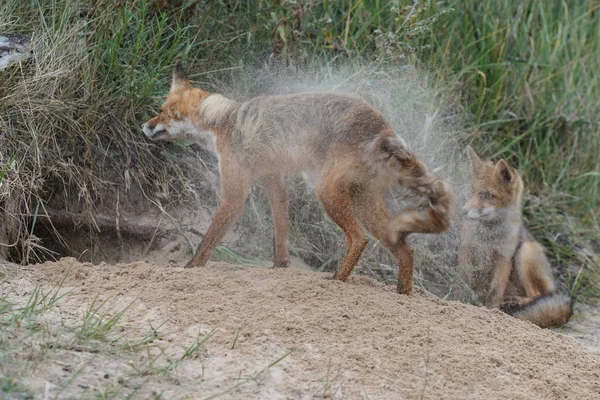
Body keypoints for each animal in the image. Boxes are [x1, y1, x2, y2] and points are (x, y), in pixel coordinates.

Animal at [143, 64, 454, 296]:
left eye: (164, 112)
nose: (144, 126)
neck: (224, 123)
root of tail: (384, 127)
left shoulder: (235, 191)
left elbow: (208, 240)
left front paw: (190, 268)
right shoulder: (274, 179)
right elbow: (281, 230)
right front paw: (280, 267)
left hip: (328, 193)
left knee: (360, 238)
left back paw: (338, 279)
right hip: (365, 203)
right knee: (405, 249)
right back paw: (403, 294)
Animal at [460, 148, 572, 328]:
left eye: (488, 195)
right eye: (472, 191)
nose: (462, 211)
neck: (488, 236)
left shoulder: (504, 258)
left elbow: (495, 292)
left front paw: (490, 312)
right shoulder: (466, 249)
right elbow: (465, 280)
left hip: (525, 252)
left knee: (536, 295)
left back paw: (514, 302)